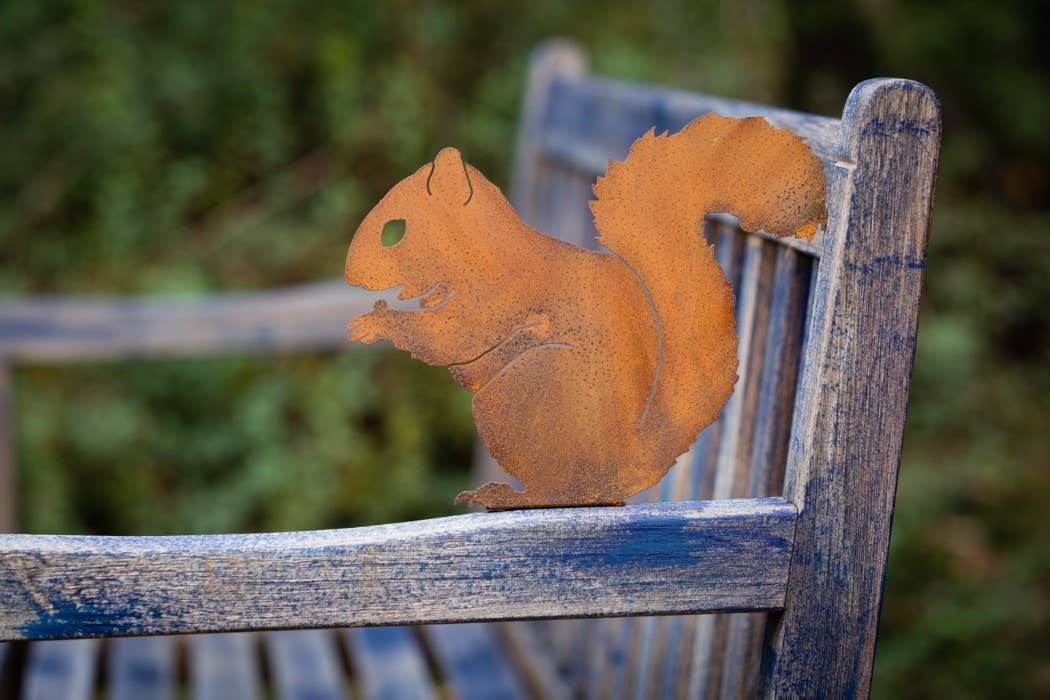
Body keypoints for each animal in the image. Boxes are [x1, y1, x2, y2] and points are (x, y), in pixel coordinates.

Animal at [345, 113, 826, 510]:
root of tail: (631, 467)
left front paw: (377, 321)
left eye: (395, 230)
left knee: (551, 488)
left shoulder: (496, 301)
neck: (482, 251)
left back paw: (506, 496)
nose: (350, 274)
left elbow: (448, 338)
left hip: (522, 398)